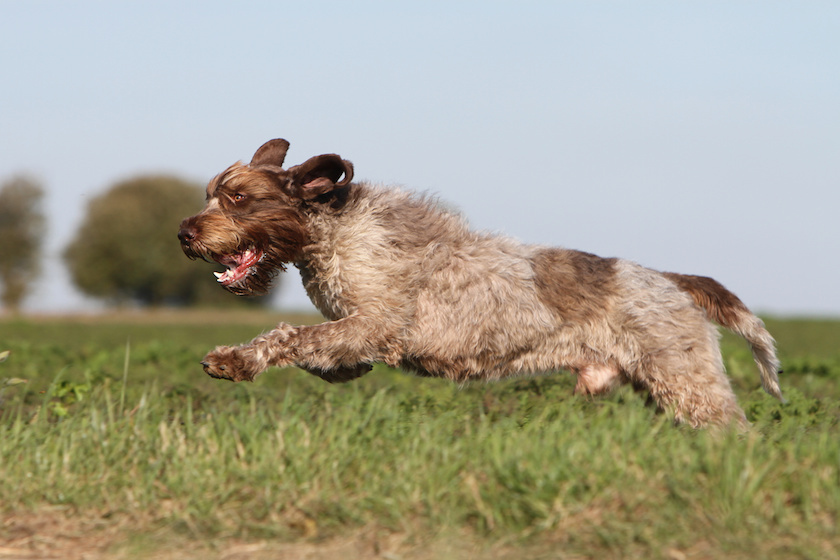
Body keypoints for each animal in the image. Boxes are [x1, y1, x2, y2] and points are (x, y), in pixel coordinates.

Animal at [176, 139, 780, 428]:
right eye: (209, 194)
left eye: (238, 198)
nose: (183, 232)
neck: (330, 231)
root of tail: (671, 280)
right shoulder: (354, 337)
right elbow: (320, 352)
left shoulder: (373, 323)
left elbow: (288, 336)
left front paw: (234, 359)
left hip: (687, 382)